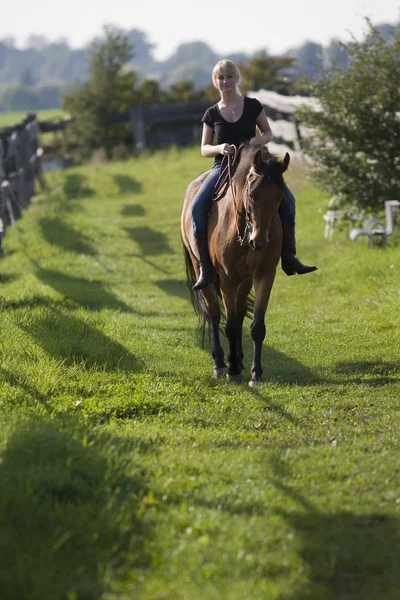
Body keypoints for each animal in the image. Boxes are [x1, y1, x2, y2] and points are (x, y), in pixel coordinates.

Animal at [182, 142, 290, 384]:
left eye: (279, 197)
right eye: (252, 194)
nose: (259, 242)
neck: (242, 229)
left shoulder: (263, 274)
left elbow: (256, 325)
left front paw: (255, 373)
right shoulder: (226, 278)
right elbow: (229, 325)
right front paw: (231, 370)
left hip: (245, 279)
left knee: (239, 313)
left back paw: (238, 360)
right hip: (202, 269)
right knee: (213, 313)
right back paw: (221, 363)